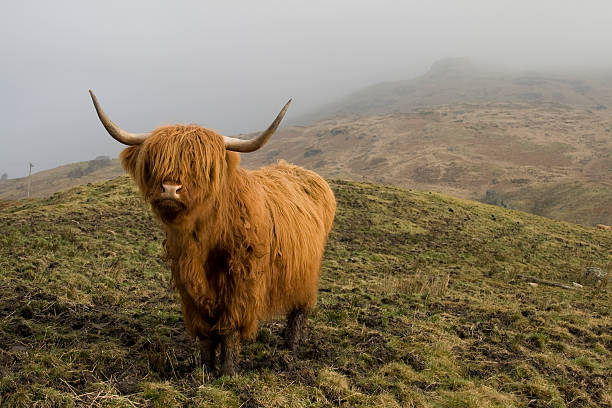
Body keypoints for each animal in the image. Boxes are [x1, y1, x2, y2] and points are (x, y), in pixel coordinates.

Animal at [89, 90, 334, 376]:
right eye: (155, 161)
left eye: (199, 165)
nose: (170, 189)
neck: (204, 239)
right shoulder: (187, 283)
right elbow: (204, 333)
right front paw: (205, 370)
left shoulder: (240, 281)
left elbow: (229, 330)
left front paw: (227, 372)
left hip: (306, 272)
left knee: (300, 309)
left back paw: (291, 347)